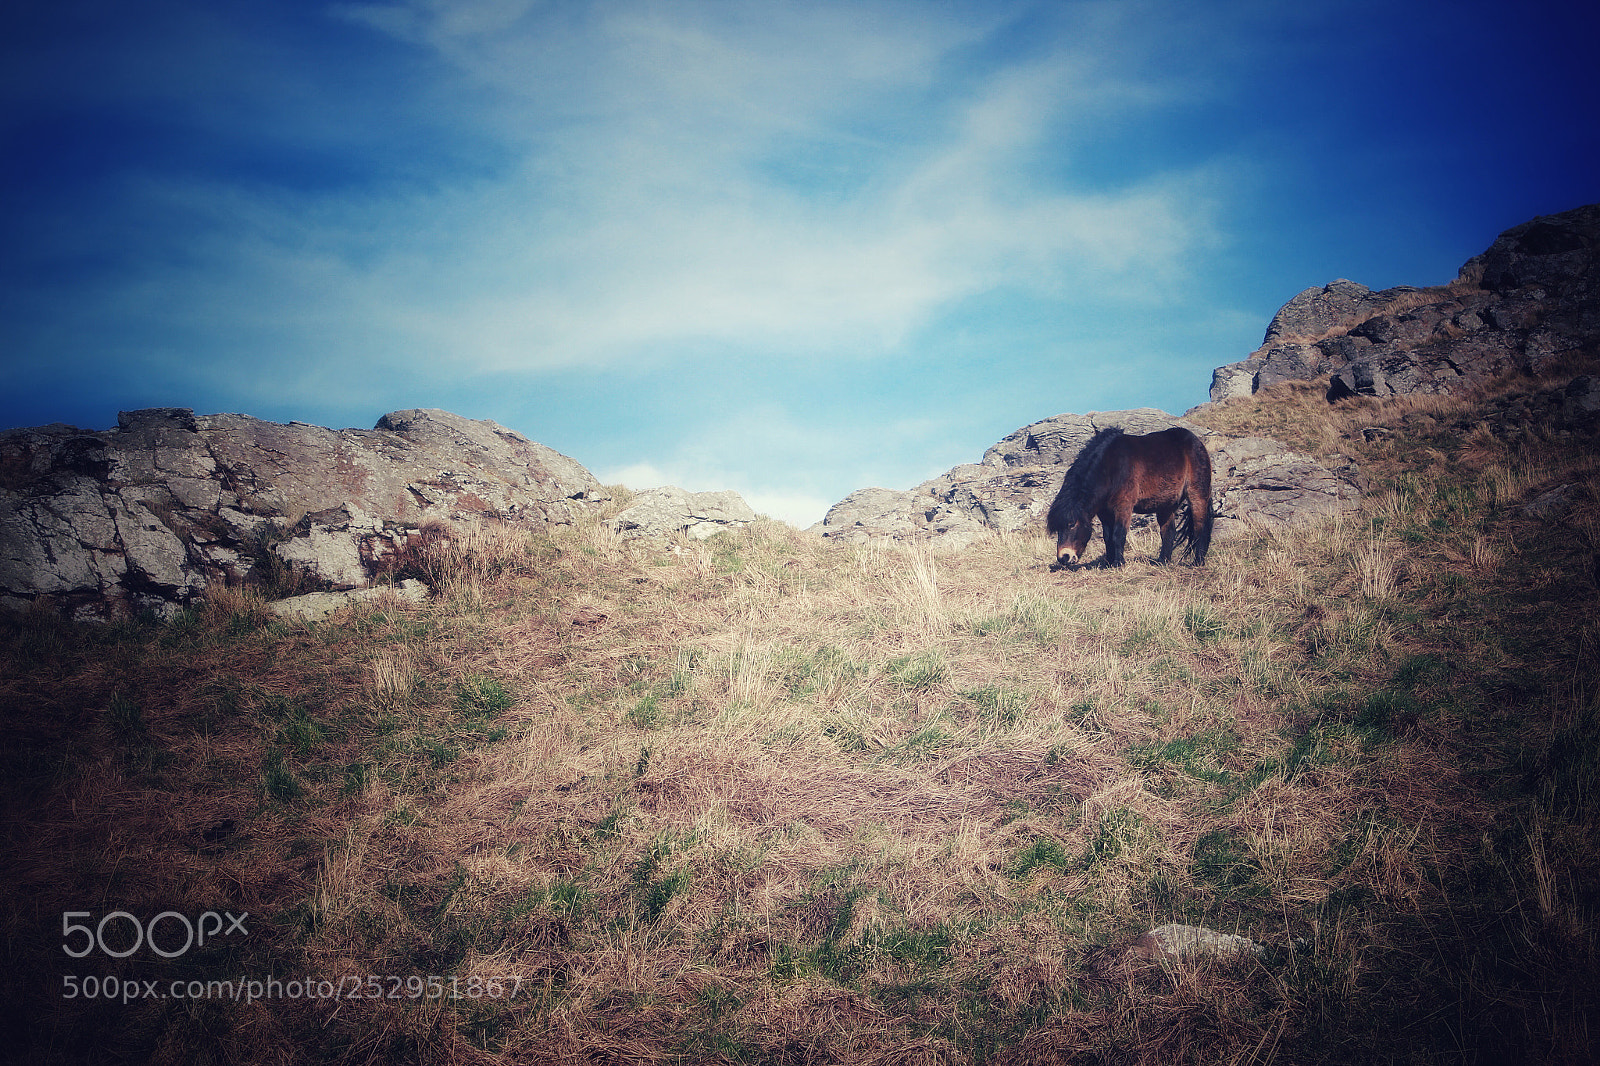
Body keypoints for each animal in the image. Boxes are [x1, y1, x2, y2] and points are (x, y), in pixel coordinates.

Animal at [1045, 426, 1213, 569]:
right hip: (1166, 504)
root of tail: (1197, 442)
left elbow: (1118, 534)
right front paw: (1108, 563)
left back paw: (1198, 562)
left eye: (1071, 524)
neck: (1111, 467)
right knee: (1169, 531)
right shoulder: (1104, 512)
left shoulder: (1123, 506)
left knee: (1199, 527)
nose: (1063, 557)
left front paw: (1118, 563)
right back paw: (1163, 562)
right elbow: (1107, 536)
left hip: (1197, 495)